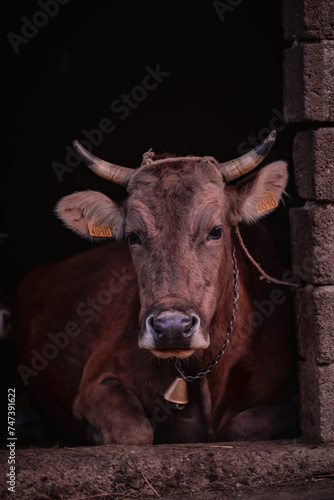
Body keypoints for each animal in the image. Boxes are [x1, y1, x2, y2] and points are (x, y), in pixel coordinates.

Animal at [15, 131, 300, 444]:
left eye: (216, 231)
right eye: (132, 236)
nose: (172, 327)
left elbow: (241, 427)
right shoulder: (96, 381)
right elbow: (136, 432)